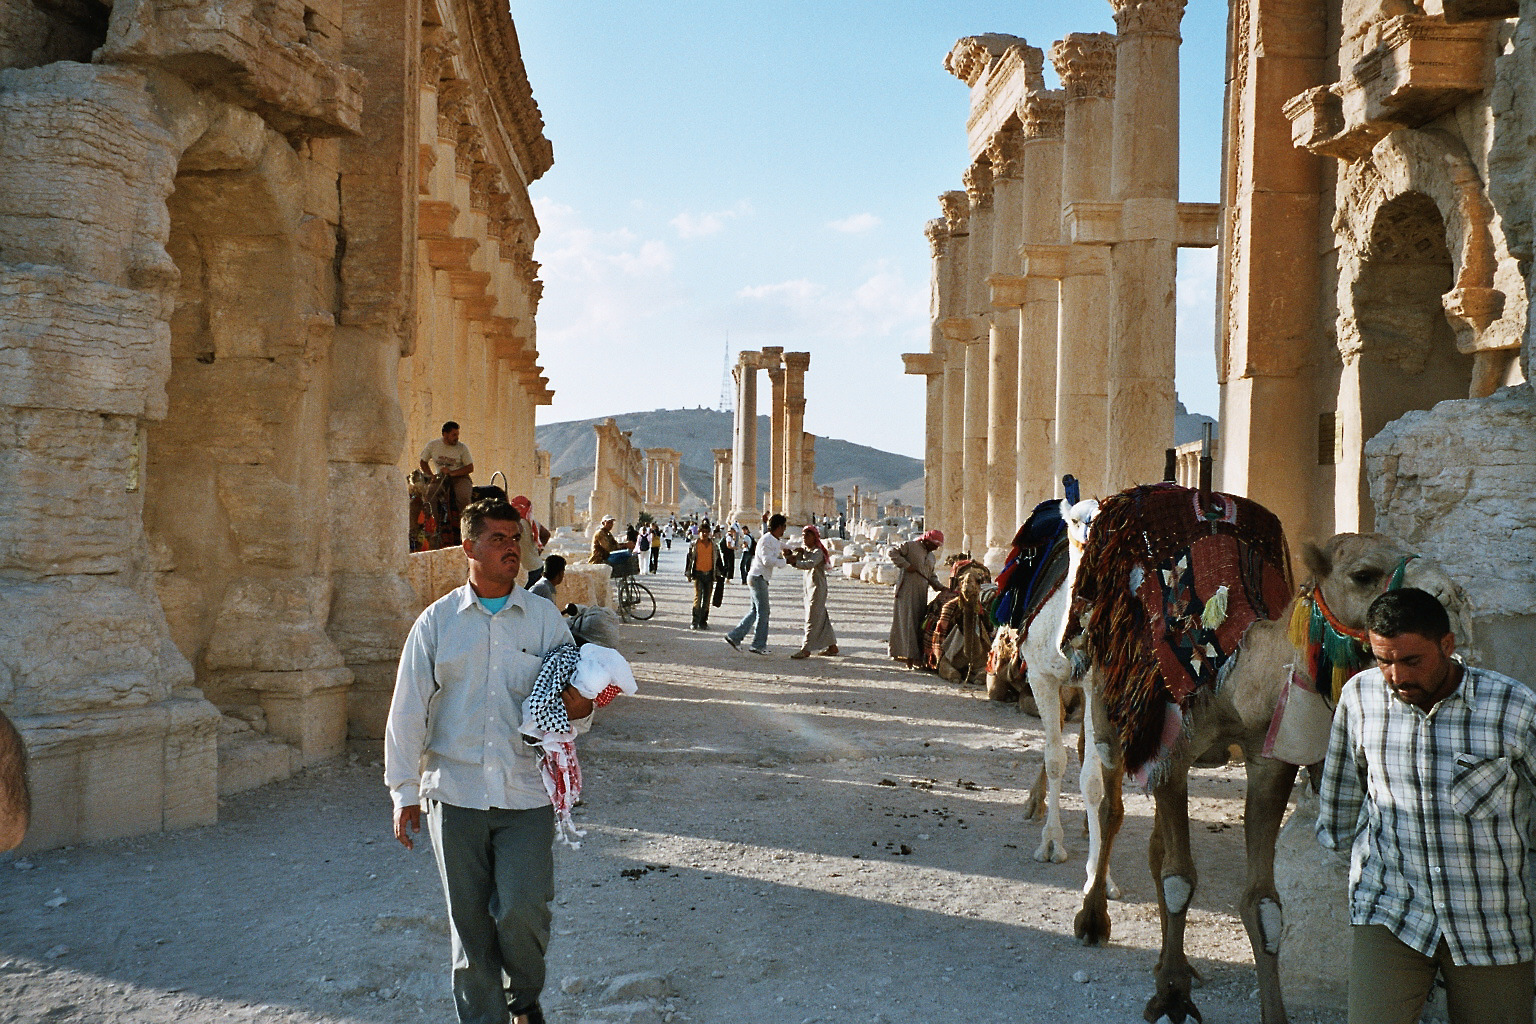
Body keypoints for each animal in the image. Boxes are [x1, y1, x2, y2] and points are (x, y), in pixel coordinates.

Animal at [1062, 488, 1468, 1024]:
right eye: (1364, 573)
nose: (1452, 599)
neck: (1235, 674)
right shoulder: (1173, 747)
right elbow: (1179, 878)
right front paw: (1171, 1000)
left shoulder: (1269, 761)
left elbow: (1261, 902)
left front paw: (1262, 1008)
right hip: (1106, 702)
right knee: (1109, 804)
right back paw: (1093, 920)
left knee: (1156, 844)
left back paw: (1175, 963)